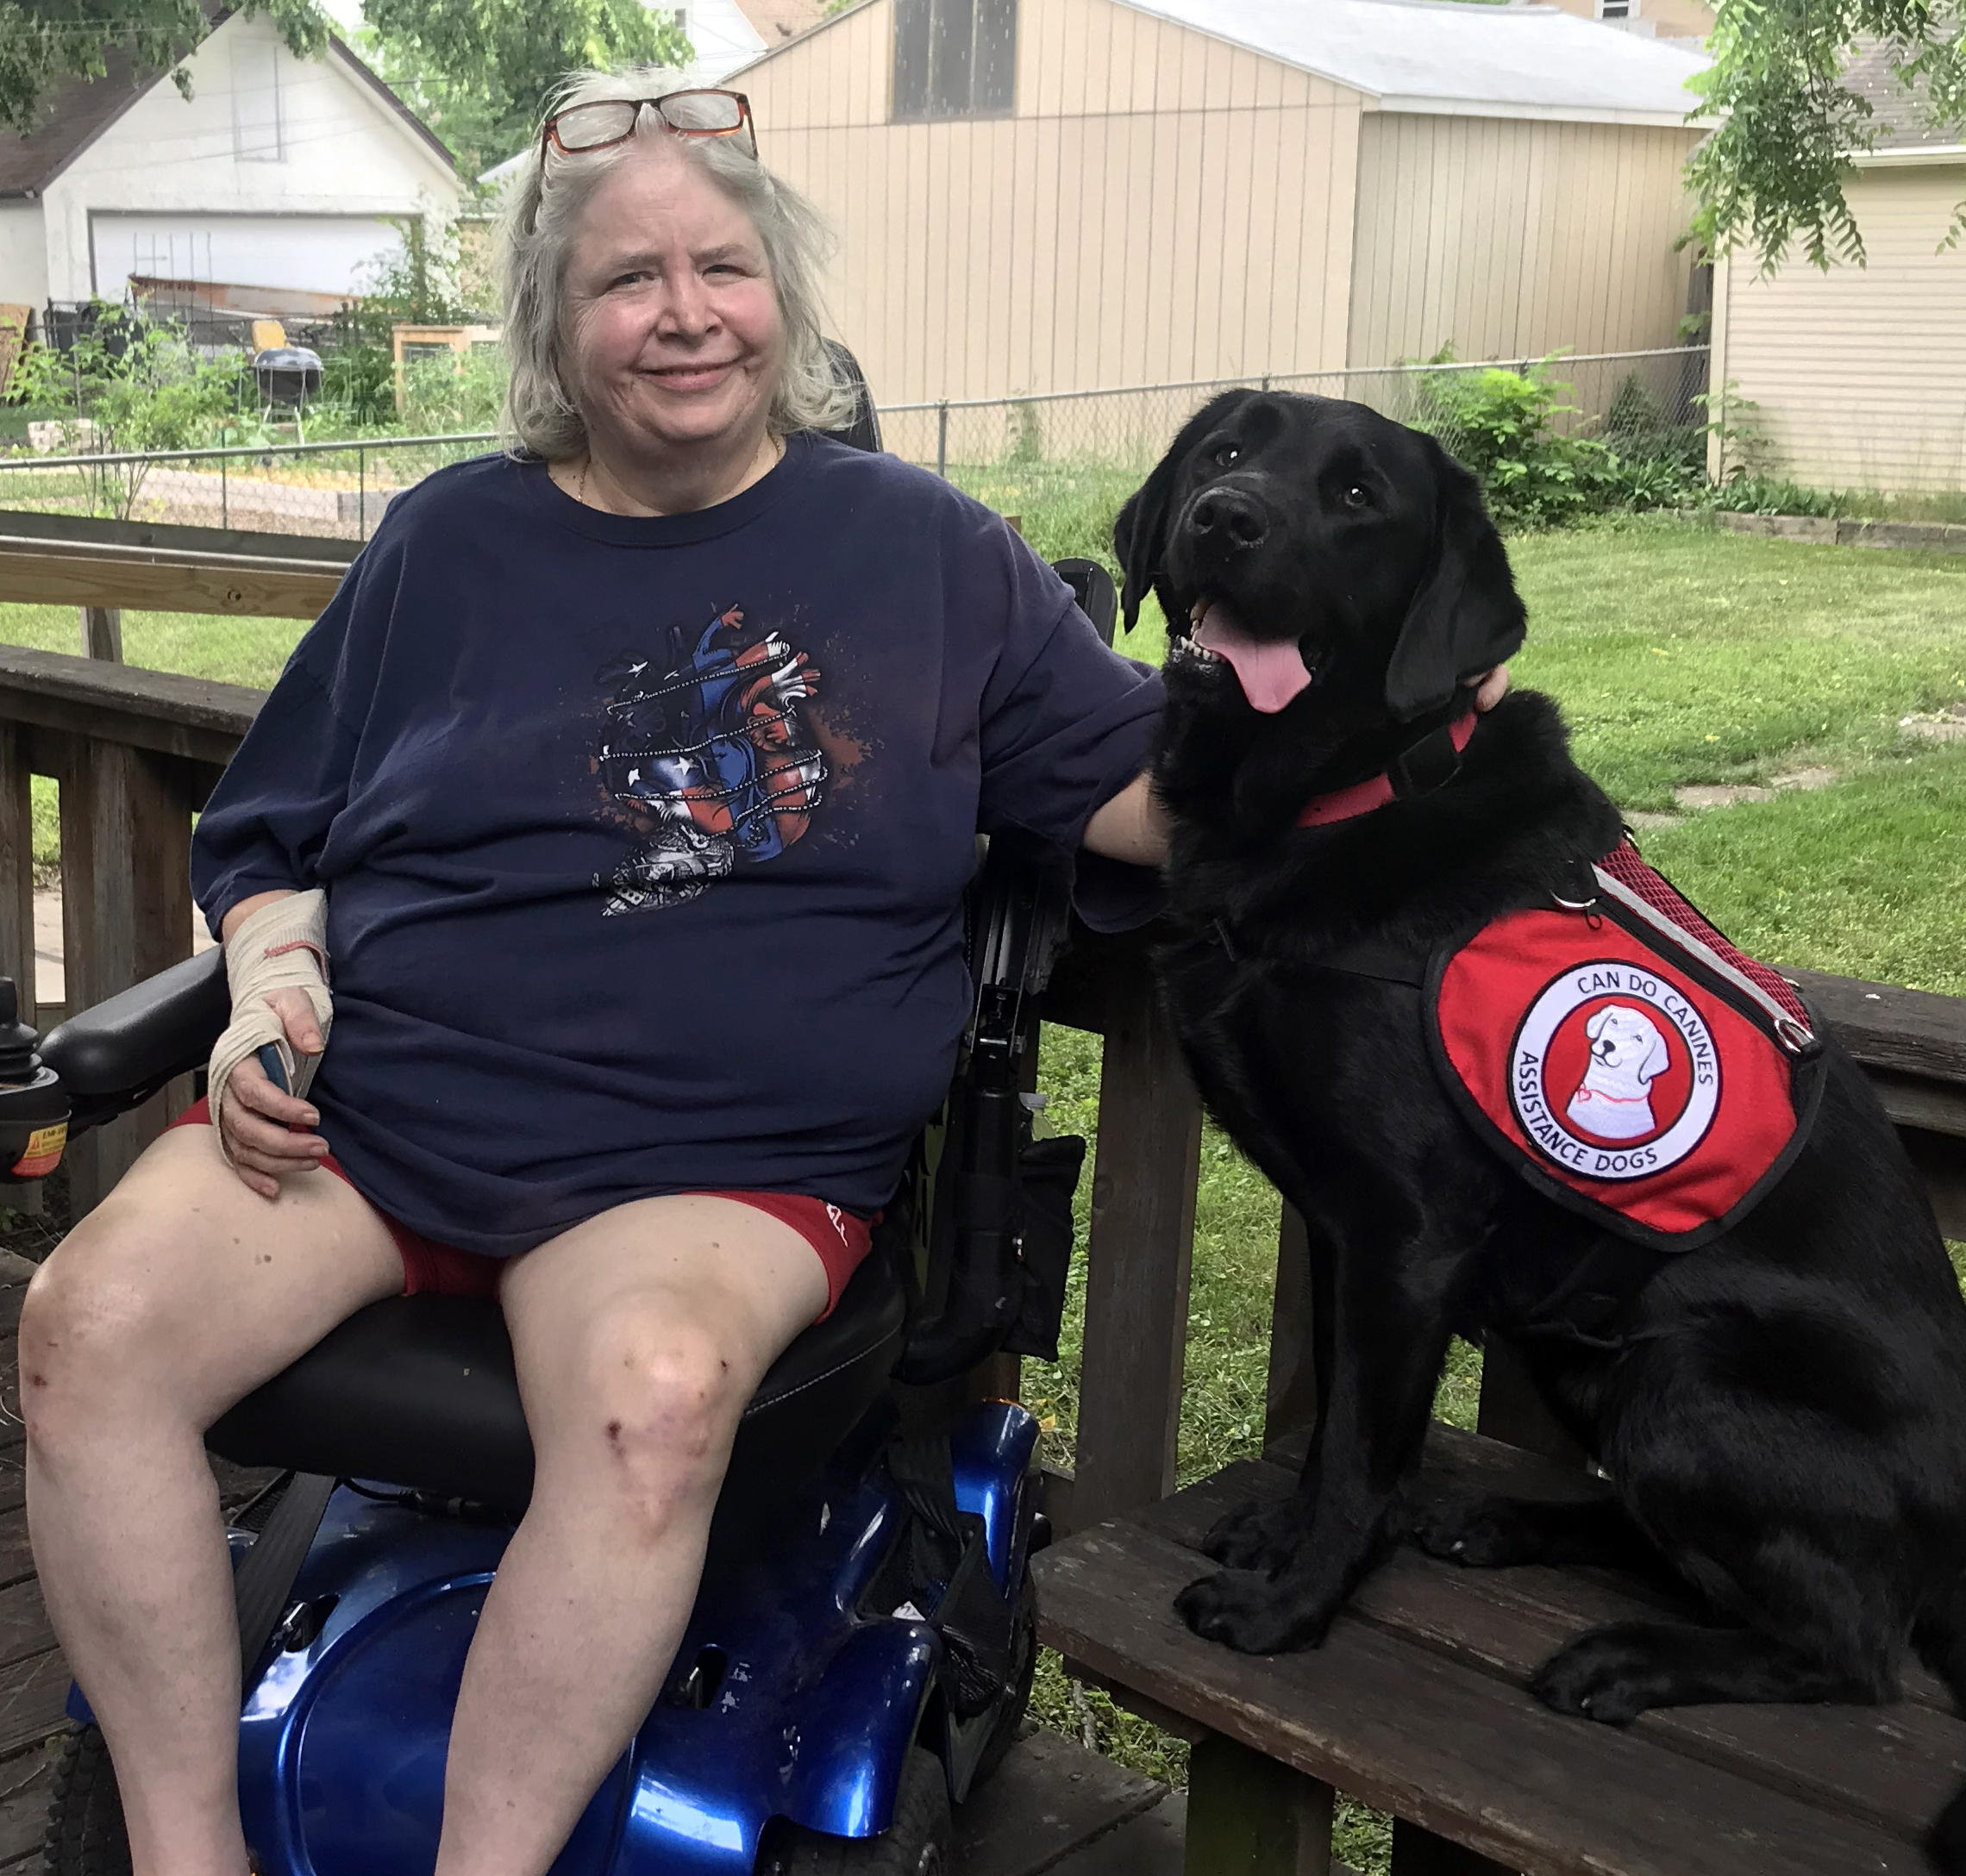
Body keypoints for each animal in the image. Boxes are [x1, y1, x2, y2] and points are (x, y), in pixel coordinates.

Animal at [1132, 387, 1966, 1864]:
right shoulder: (1344, 1236)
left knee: (1858, 1647)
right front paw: (1282, 1539)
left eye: (1359, 497)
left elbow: (1361, 1451)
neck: (1337, 799)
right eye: (1228, 450)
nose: (1224, 520)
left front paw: (1291, 1607)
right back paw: (1503, 1526)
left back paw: (1630, 1660)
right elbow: (1342, 1425)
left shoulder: (1405, 1240)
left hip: (1681, 1372)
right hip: (1598, 1363)